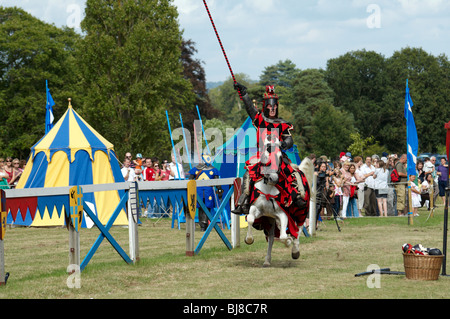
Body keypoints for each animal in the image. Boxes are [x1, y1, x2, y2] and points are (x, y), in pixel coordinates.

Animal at [244, 134, 314, 268]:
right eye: (266, 157)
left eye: (280, 157)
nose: (273, 178)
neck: (268, 189)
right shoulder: (257, 210)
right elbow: (250, 219)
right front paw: (249, 239)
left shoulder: (283, 214)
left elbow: (283, 236)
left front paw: (288, 242)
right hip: (270, 220)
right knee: (271, 237)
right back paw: (267, 260)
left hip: (301, 212)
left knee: (298, 230)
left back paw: (295, 250)